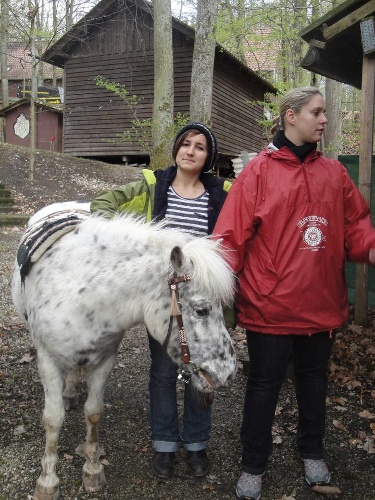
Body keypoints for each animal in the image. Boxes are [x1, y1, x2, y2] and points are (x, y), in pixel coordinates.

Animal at [11, 201, 238, 498]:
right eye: (202, 310)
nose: (228, 372)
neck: (83, 295)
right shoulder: (47, 361)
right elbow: (53, 419)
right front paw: (47, 481)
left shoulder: (105, 360)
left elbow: (94, 412)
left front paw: (93, 470)